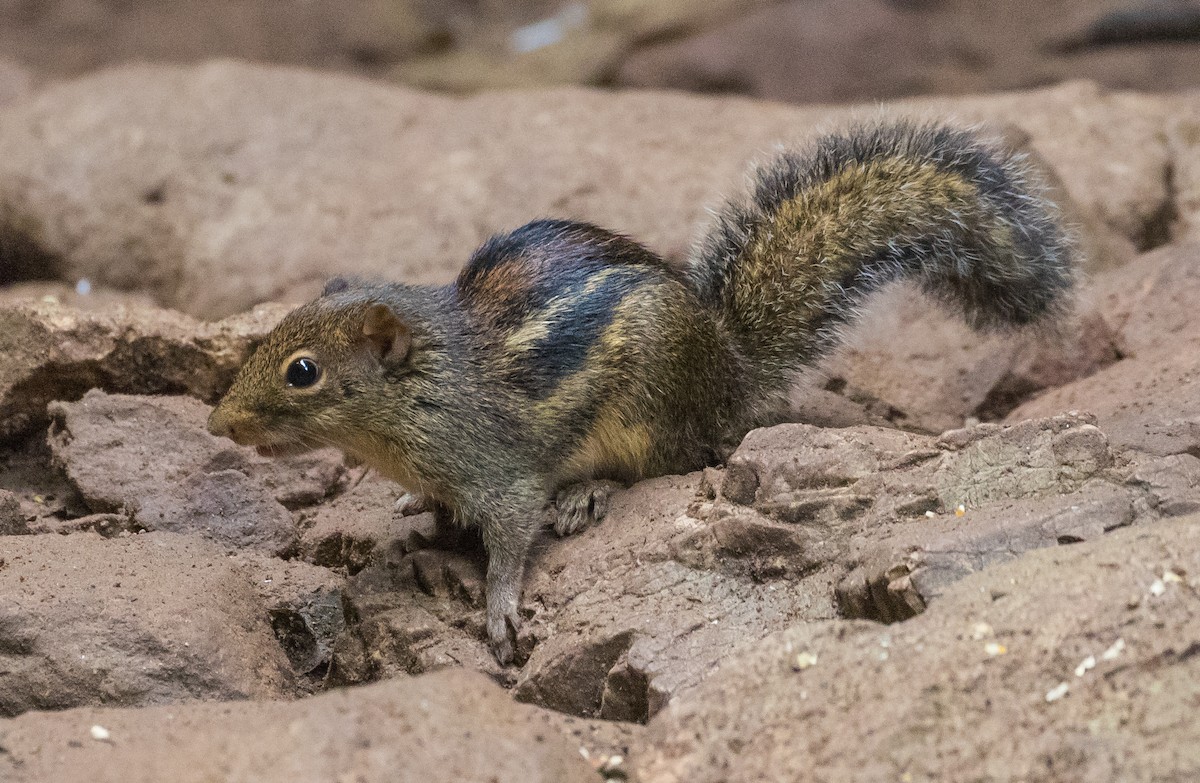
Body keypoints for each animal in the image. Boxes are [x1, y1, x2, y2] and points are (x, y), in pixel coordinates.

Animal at [207, 120, 1074, 664]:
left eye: (302, 370)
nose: (219, 421)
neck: (428, 388)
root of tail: (729, 369)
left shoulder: (501, 471)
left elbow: (511, 537)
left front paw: (500, 608)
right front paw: (416, 510)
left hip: (648, 414)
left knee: (674, 462)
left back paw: (589, 492)